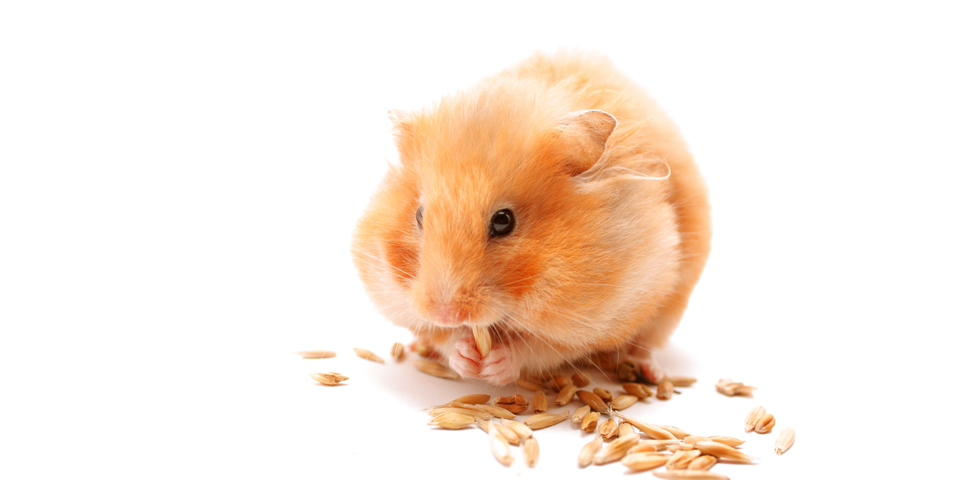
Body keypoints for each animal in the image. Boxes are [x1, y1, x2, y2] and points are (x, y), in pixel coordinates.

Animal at [351, 51, 710, 385]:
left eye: (503, 221)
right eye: (419, 215)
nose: (446, 312)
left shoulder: (594, 319)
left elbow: (538, 348)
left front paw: (494, 364)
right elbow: (441, 337)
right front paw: (465, 355)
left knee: (649, 342)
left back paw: (652, 373)